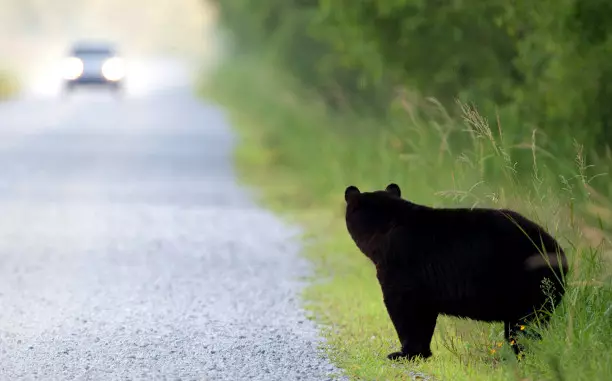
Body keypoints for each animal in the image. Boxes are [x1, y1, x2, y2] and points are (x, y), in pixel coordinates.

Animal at [344, 183, 568, 360]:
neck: (385, 228)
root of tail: (561, 256)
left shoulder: (401, 270)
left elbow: (405, 311)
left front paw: (404, 353)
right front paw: (421, 352)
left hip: (526, 288)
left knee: (525, 328)